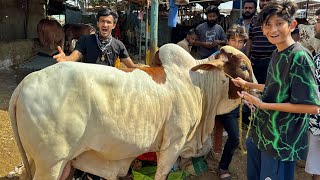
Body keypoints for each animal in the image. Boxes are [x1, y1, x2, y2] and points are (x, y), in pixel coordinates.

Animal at [9, 44, 252, 180]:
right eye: (243, 68)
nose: (256, 92)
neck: (197, 82)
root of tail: (25, 83)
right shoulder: (173, 144)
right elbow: (161, 174)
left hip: (44, 161)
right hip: (51, 164)